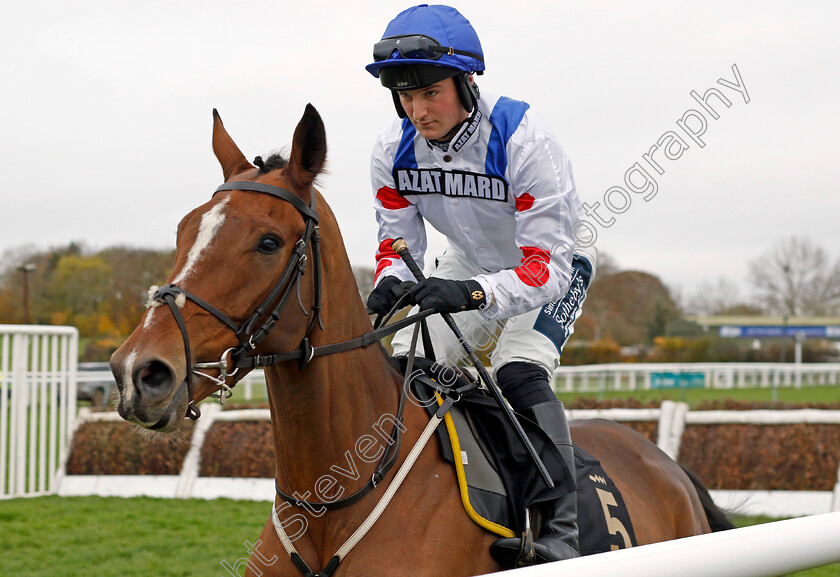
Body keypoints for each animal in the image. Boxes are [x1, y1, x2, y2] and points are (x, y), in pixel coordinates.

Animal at [110, 104, 728, 576]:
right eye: (184, 231)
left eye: (268, 242)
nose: (140, 371)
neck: (332, 499)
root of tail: (668, 465)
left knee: (523, 371)